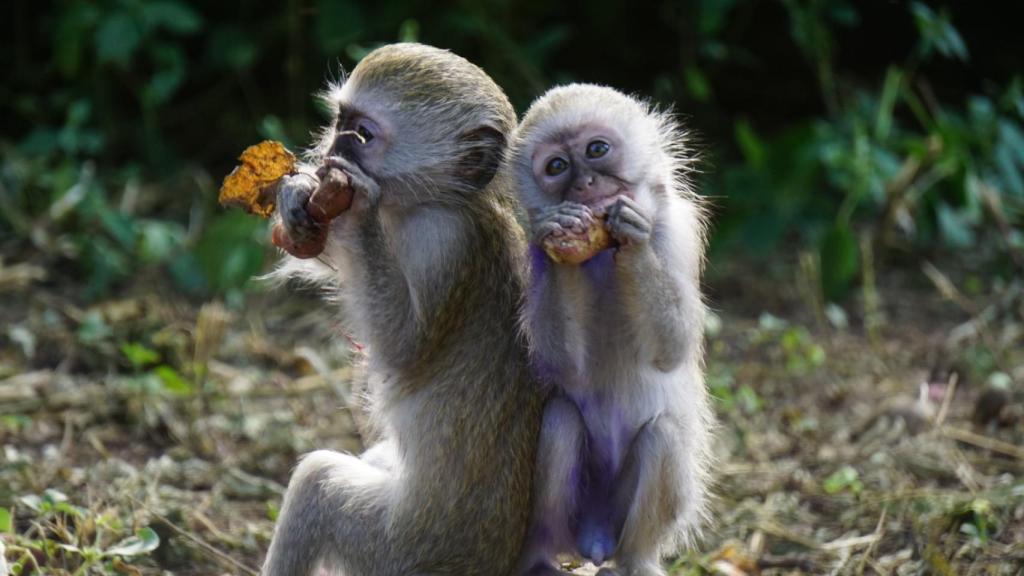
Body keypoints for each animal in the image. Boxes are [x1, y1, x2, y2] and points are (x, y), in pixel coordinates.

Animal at [509, 86, 712, 573]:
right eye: (557, 167)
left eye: (596, 150)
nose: (585, 185)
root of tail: (596, 538)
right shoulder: (533, 255)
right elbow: (563, 367)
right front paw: (563, 234)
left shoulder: (675, 230)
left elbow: (672, 350)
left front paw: (633, 240)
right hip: (573, 517)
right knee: (560, 421)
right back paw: (539, 557)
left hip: (625, 518)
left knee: (664, 438)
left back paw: (635, 560)